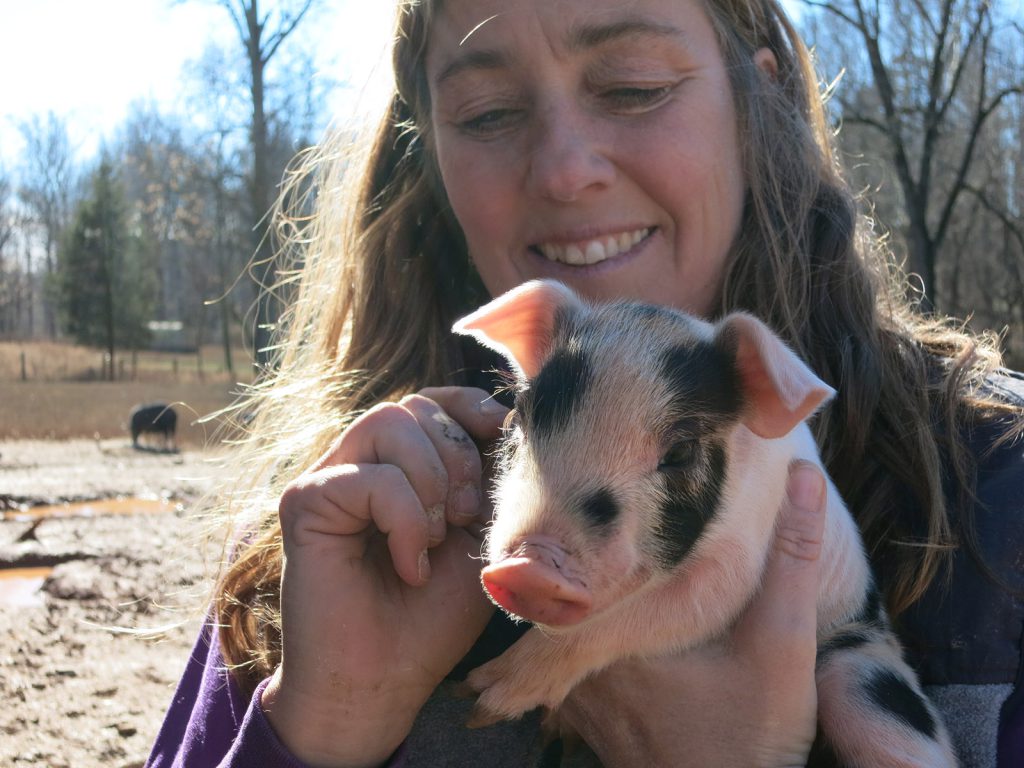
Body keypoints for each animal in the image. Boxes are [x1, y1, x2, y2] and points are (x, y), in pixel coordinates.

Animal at [452, 280, 956, 767]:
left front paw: (481, 700)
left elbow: (672, 609)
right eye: (521, 418)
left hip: (860, 671)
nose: (528, 566)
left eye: (680, 452)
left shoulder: (743, 563)